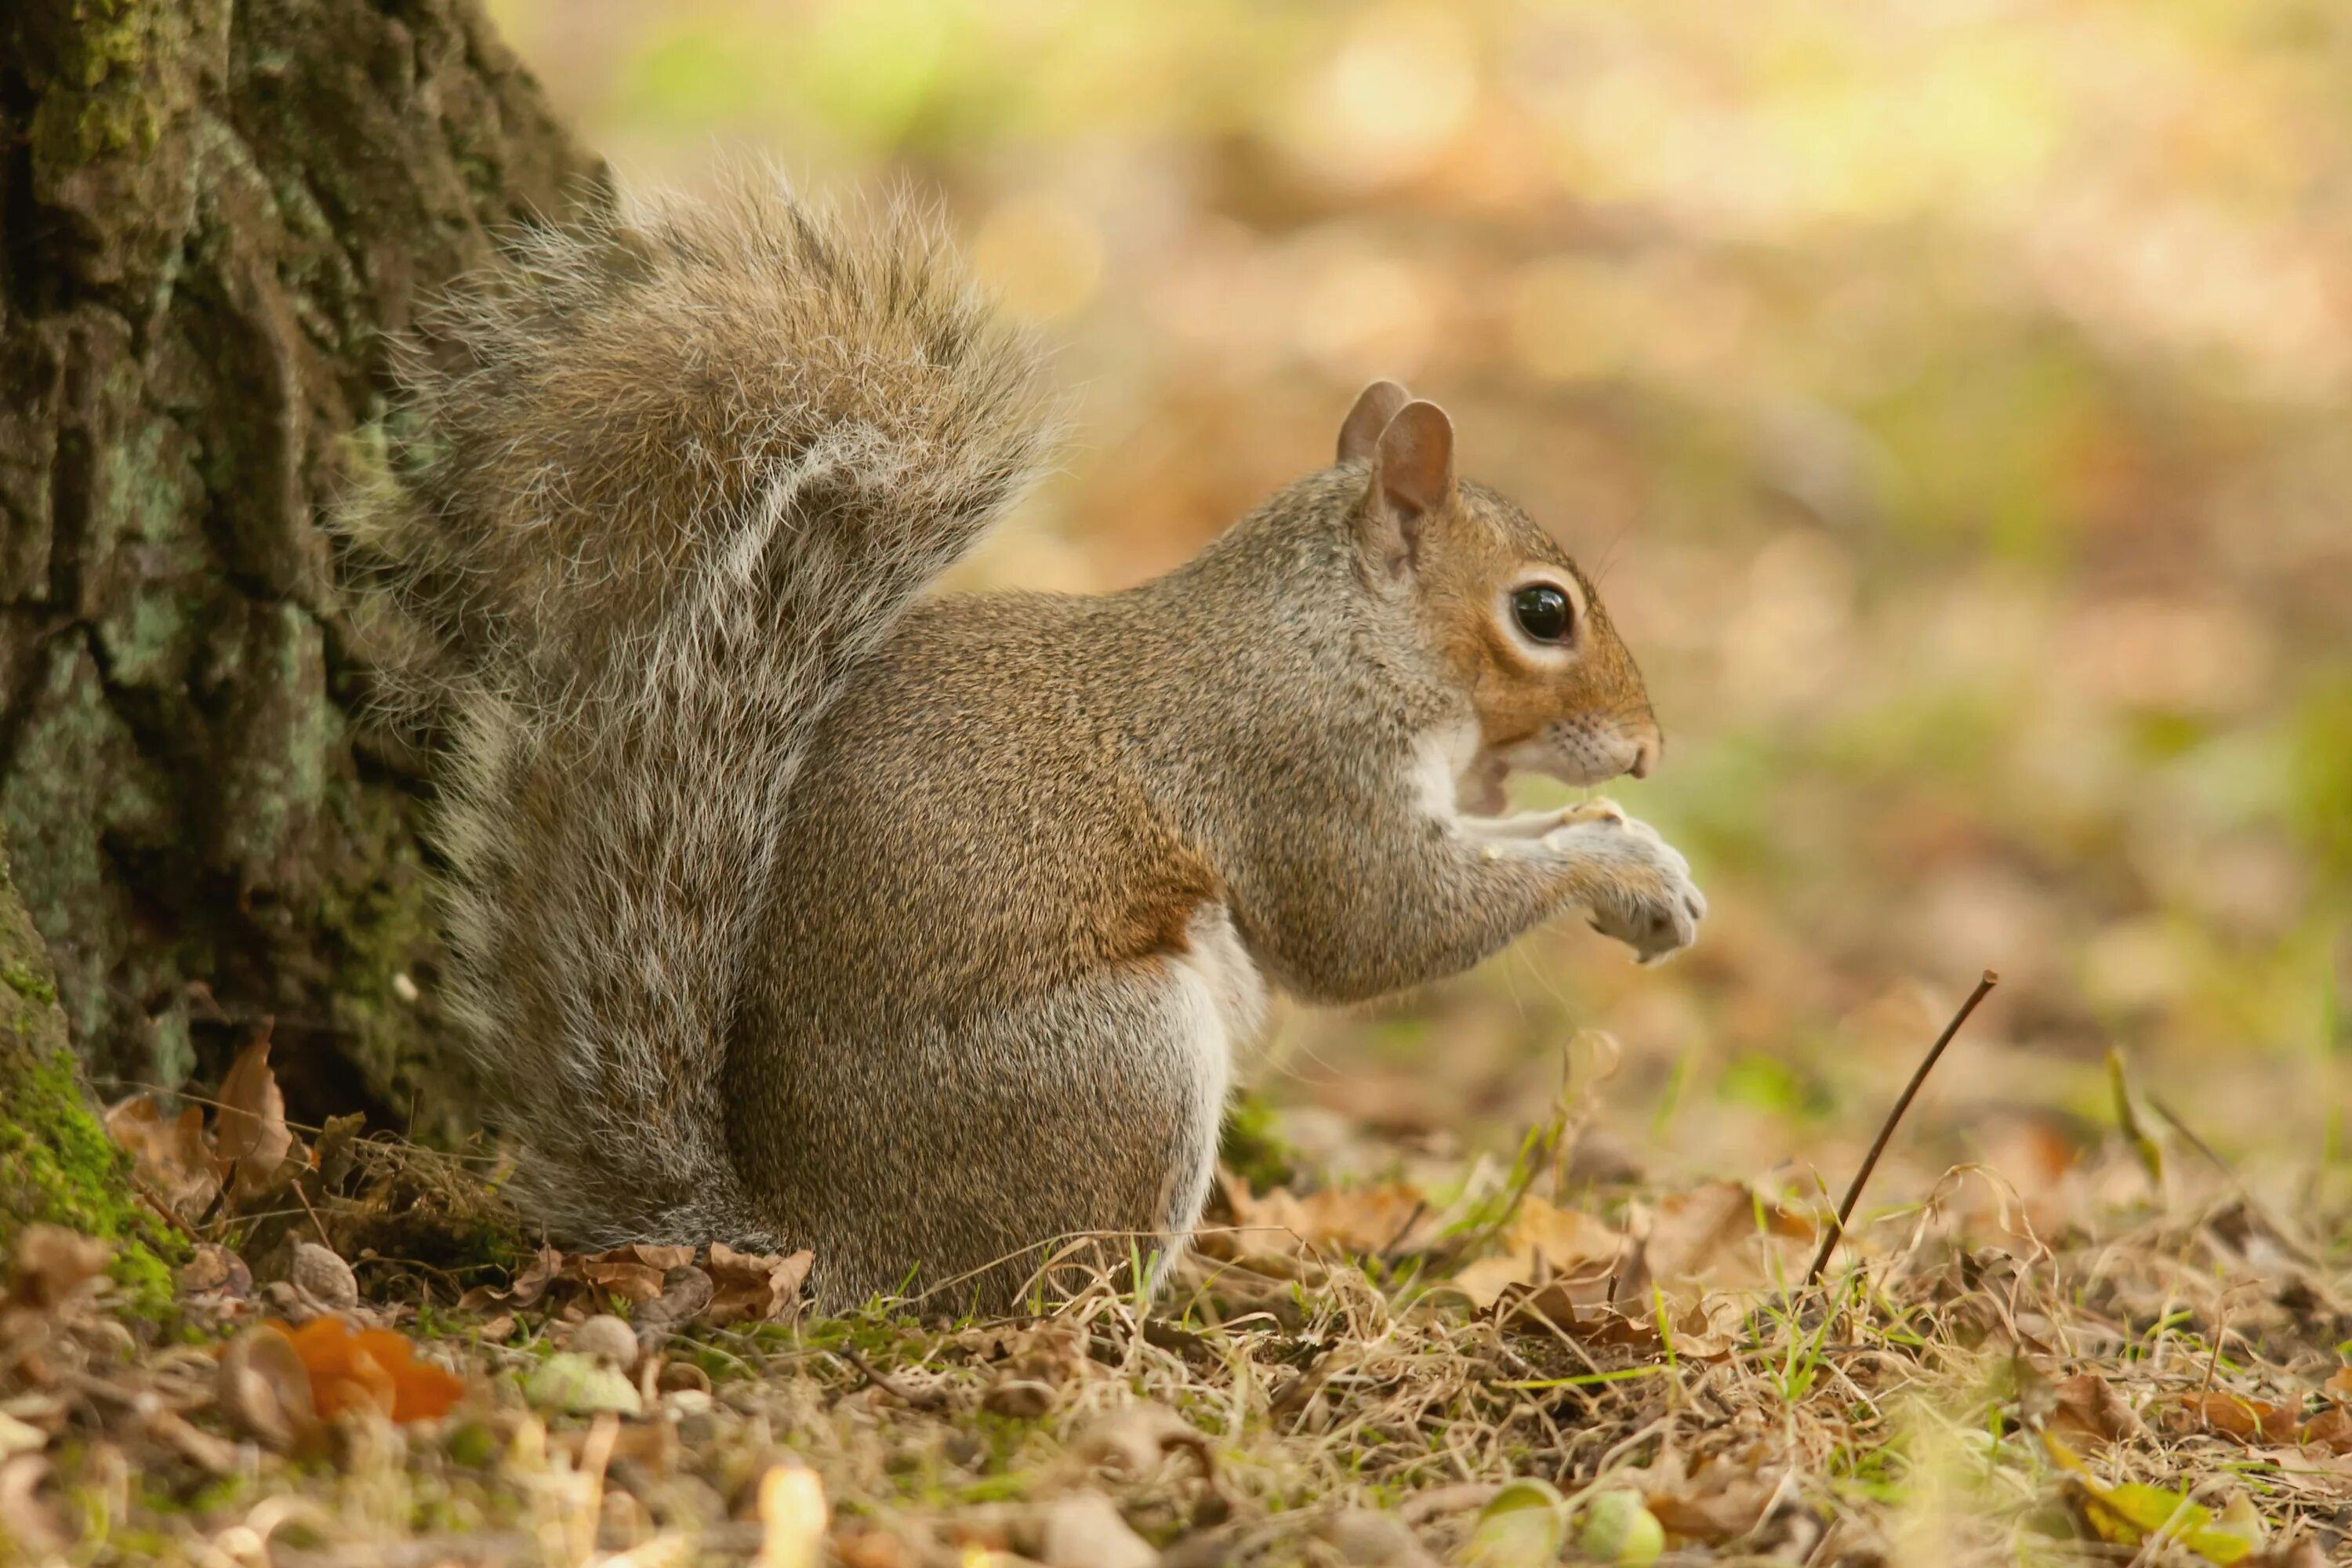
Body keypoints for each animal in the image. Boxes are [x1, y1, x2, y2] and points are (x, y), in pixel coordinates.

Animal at [343, 177, 1712, 1316]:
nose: (1647, 752)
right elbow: (1376, 927)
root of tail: (817, 1246)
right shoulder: (1296, 765)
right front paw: (1621, 867)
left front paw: (1628, 847)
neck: (1335, 632)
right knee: (1042, 1289)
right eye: (1544, 613)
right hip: (1120, 1065)